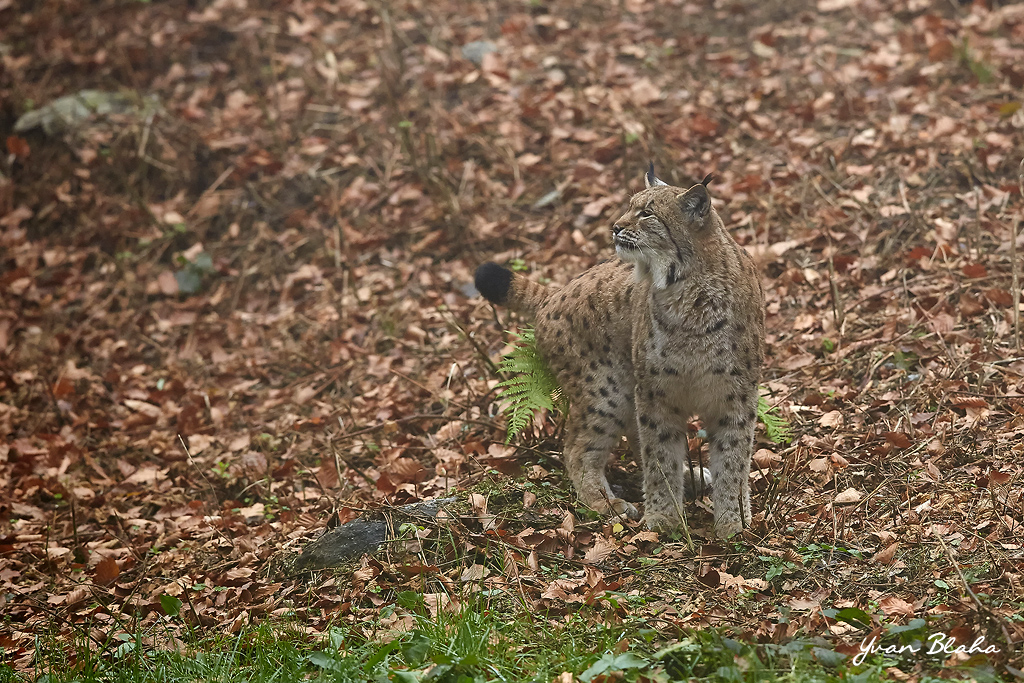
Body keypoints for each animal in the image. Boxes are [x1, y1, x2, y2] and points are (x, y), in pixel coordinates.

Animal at [474, 166, 765, 539]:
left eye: (647, 214)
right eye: (630, 207)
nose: (614, 226)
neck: (687, 289)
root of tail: (553, 294)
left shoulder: (736, 394)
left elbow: (733, 458)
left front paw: (734, 523)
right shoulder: (657, 391)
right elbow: (659, 453)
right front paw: (664, 521)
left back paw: (690, 477)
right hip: (607, 390)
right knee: (576, 448)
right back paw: (605, 503)